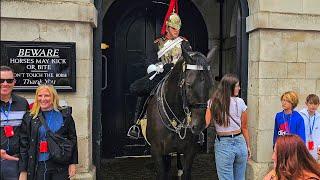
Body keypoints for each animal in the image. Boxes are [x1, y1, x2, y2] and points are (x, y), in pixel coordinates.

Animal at [146, 49, 214, 180]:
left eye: (210, 86)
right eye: (189, 85)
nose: (199, 125)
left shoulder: (190, 150)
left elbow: (186, 173)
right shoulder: (156, 150)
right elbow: (162, 173)